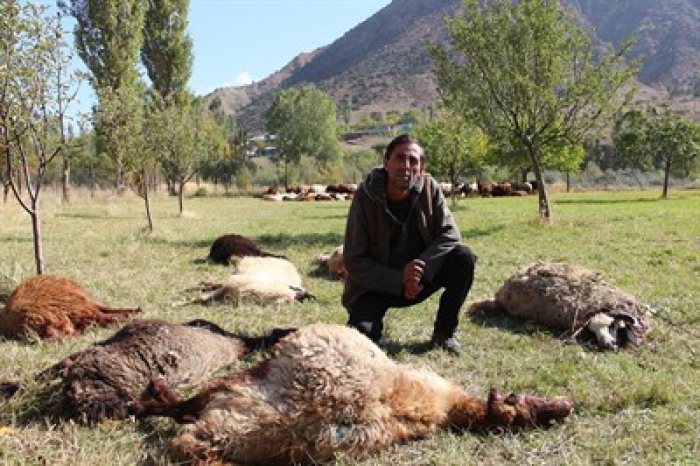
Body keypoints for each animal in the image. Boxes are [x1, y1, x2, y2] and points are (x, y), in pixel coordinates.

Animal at [179, 255, 314, 306]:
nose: (305, 293)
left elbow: (200, 298)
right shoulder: (232, 284)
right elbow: (199, 297)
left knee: (215, 285)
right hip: (238, 274)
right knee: (216, 284)